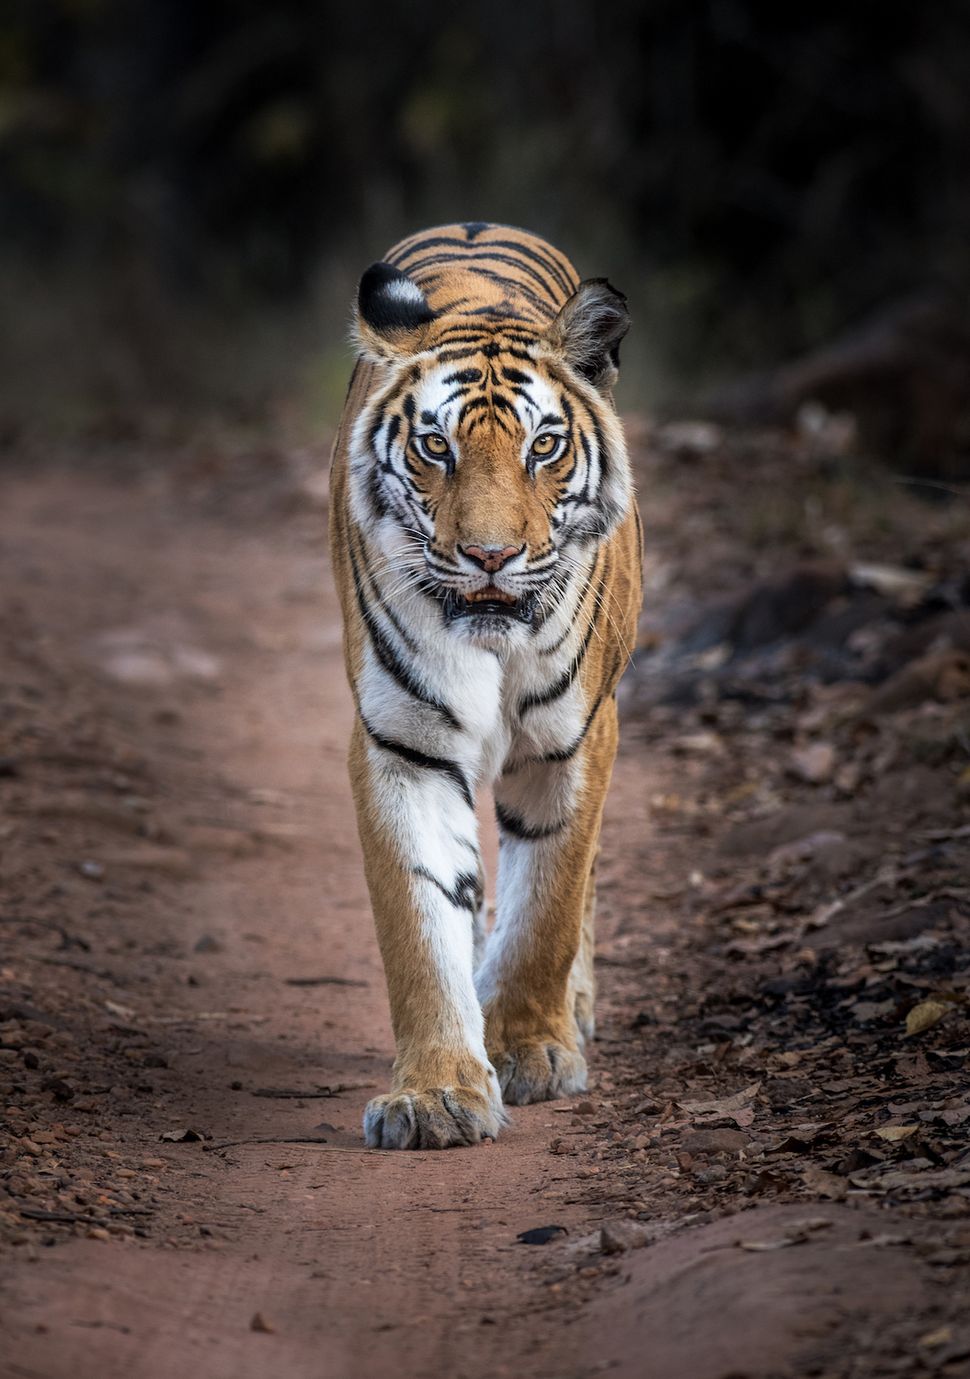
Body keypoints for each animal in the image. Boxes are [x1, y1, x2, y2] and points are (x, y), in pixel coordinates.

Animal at [329, 223, 640, 1152]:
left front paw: (533, 1050)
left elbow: (549, 904)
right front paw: (436, 1092)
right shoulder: (400, 744)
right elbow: (420, 920)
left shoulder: (577, 738)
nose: (491, 557)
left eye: (544, 446)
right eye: (437, 446)